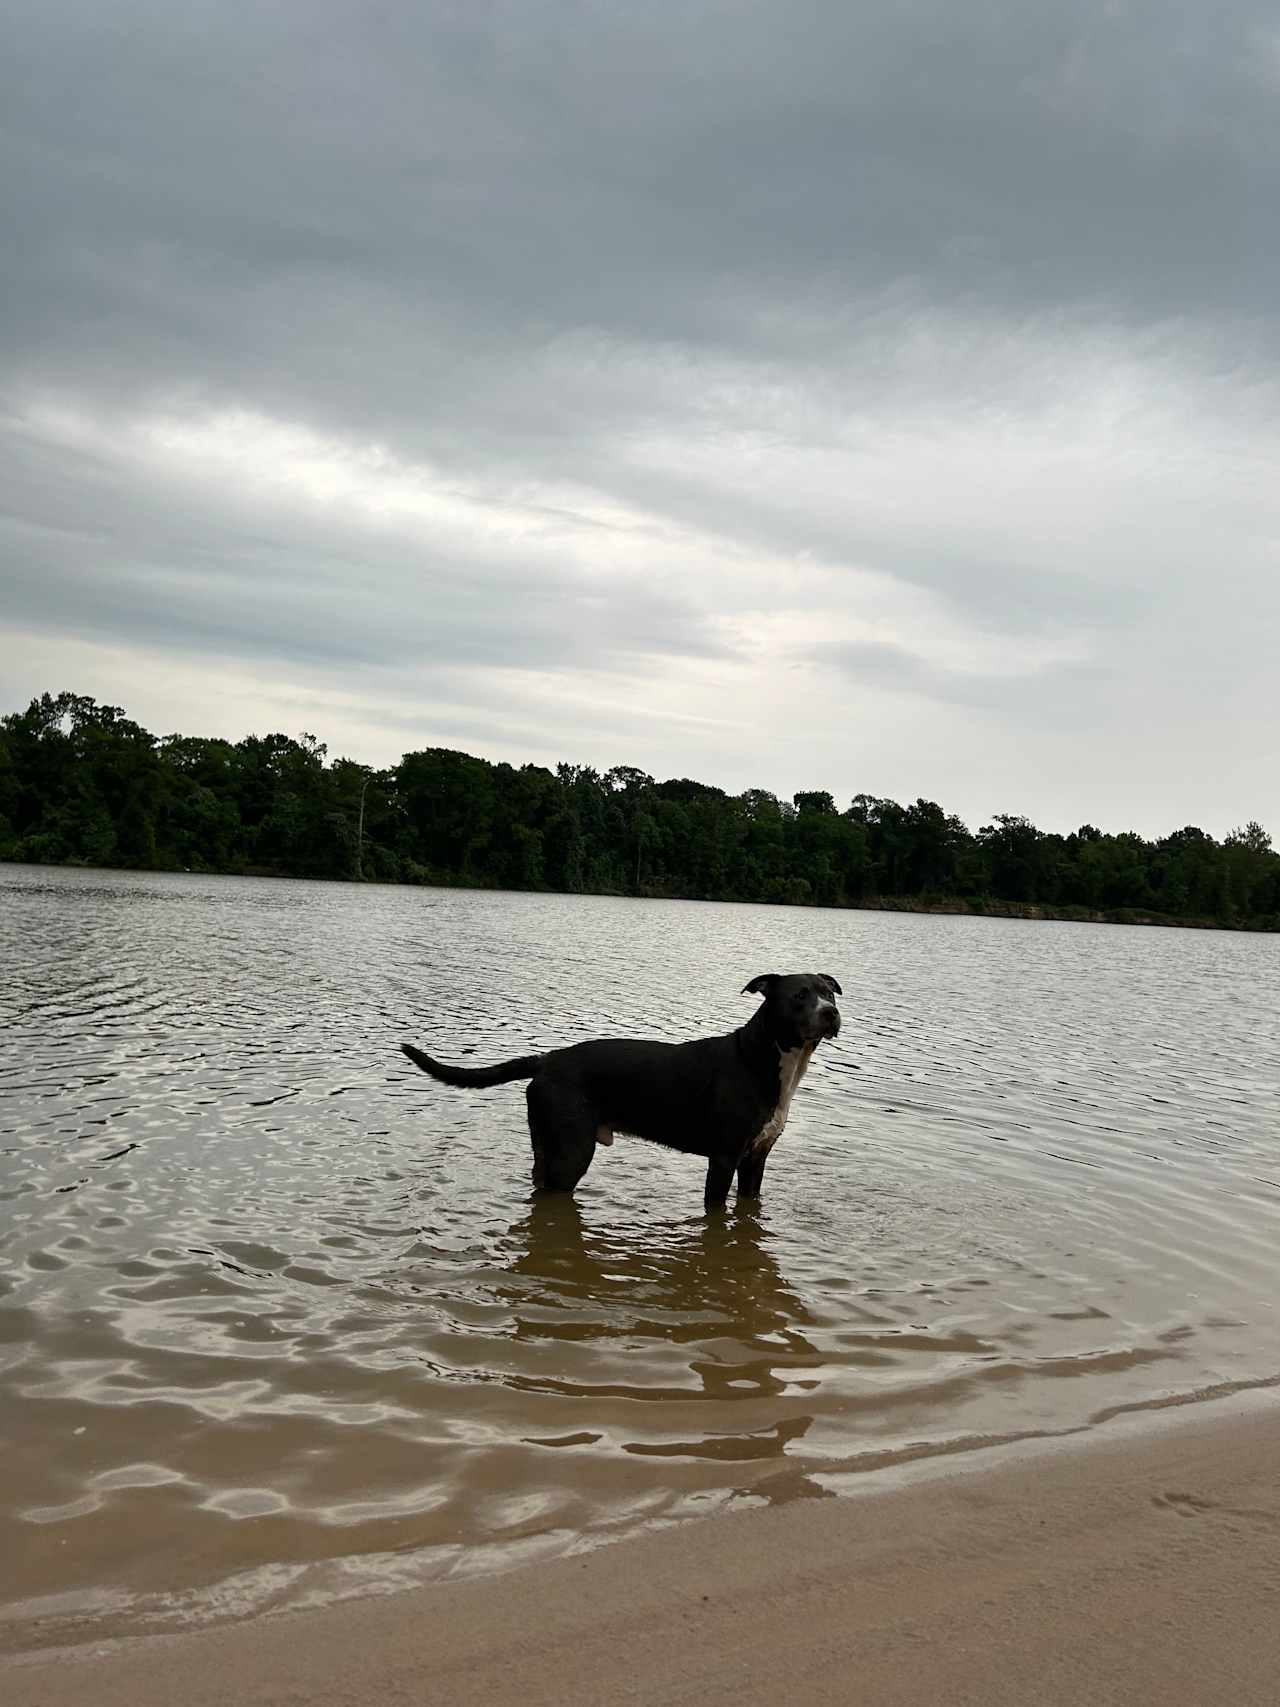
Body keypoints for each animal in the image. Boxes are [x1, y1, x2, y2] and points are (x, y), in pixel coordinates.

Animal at [401, 976, 843, 1215]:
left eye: (830, 993)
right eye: (799, 995)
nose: (830, 1013)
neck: (764, 1061)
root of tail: (547, 1060)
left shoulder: (755, 1159)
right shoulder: (723, 1159)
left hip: (548, 1144)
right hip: (572, 1152)